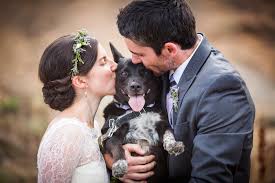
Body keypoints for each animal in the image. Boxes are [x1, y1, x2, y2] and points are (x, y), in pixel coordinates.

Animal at [99, 43, 185, 182]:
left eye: (144, 72)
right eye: (124, 73)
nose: (135, 86)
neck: (138, 111)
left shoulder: (163, 125)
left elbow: (169, 133)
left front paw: (173, 145)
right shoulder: (111, 135)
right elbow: (117, 147)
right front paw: (119, 164)